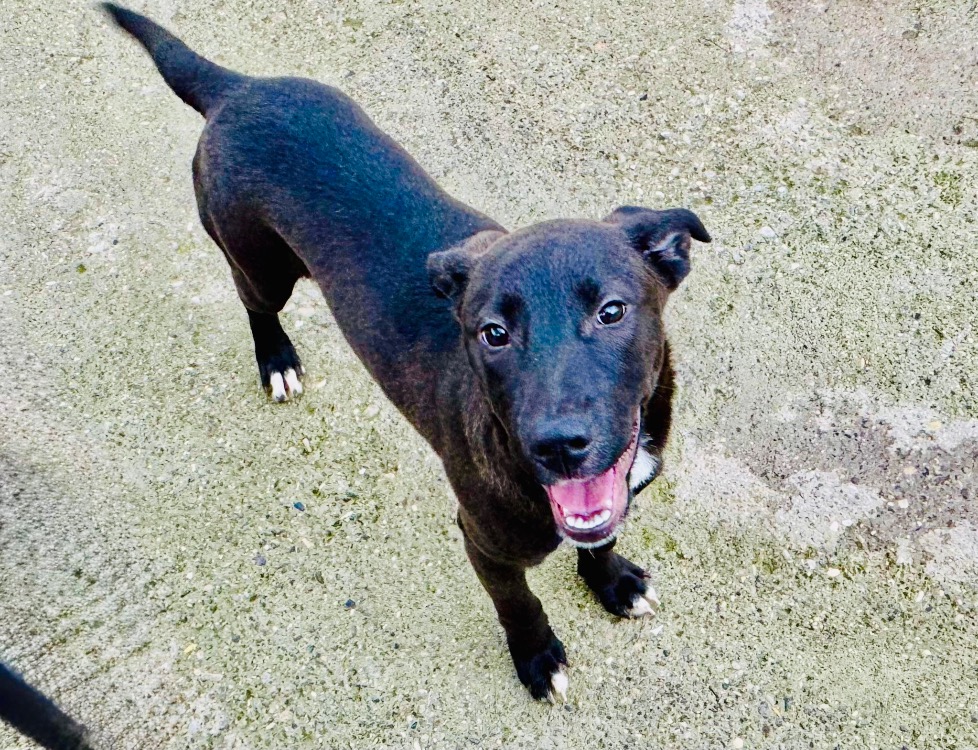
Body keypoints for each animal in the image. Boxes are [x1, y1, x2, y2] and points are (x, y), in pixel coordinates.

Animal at [102, 4, 711, 701]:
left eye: (611, 311)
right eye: (493, 333)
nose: (558, 444)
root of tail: (237, 89)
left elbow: (600, 537)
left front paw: (611, 582)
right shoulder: (484, 543)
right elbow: (518, 603)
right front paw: (536, 657)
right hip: (257, 260)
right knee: (253, 300)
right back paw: (276, 360)